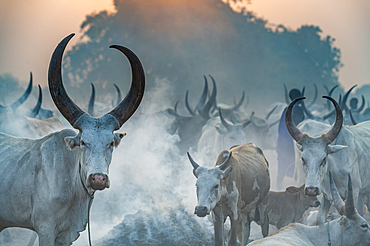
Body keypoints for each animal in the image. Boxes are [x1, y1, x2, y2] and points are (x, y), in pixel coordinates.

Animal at [286, 95, 370, 225]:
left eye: (324, 158)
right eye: (303, 159)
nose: (311, 190)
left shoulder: (354, 193)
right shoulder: (327, 195)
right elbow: (320, 219)